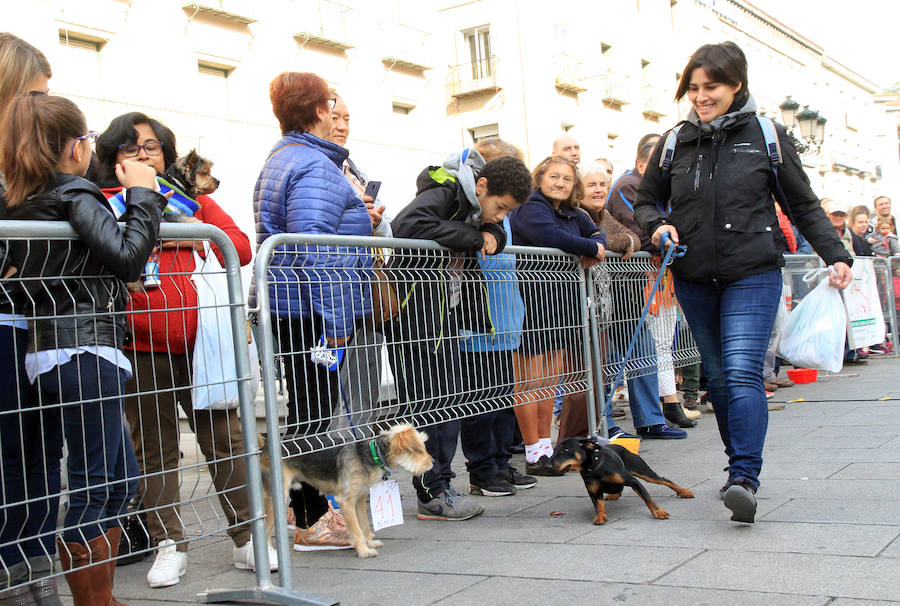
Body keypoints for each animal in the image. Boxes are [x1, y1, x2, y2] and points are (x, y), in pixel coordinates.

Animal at [260, 422, 432, 560]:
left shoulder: (360, 499)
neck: (371, 454)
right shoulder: (346, 502)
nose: (433, 462)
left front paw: (370, 543)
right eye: (419, 450)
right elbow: (356, 530)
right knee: (265, 529)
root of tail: (264, 448)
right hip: (277, 496)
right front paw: (363, 551)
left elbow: (364, 525)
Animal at [544, 436, 692, 528]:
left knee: (664, 480)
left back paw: (684, 492)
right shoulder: (593, 491)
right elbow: (598, 505)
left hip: (642, 470)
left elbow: (647, 498)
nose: (547, 466)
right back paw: (614, 495)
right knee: (618, 489)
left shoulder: (633, 481)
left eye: (565, 450)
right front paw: (600, 517)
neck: (595, 467)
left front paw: (658, 512)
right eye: (554, 451)